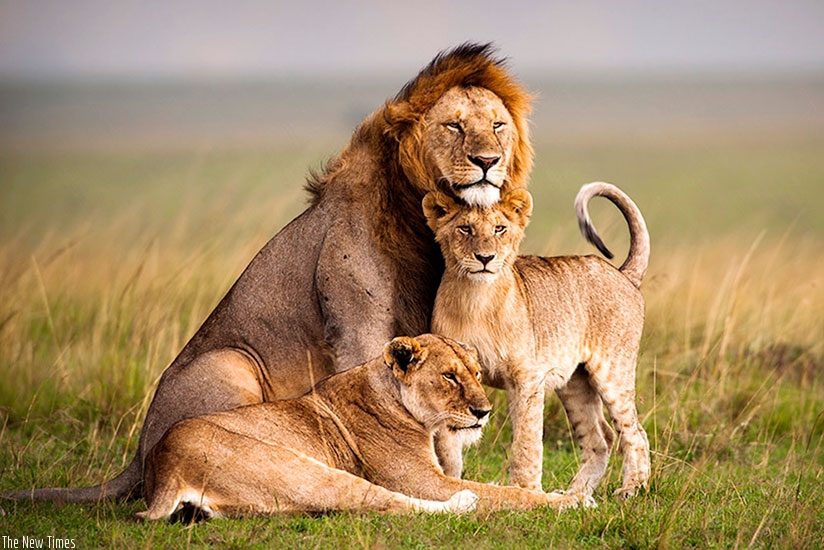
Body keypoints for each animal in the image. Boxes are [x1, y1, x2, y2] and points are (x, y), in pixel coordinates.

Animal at [0, 43, 534, 504]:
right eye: (454, 126)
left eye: (498, 126)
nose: (488, 162)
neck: (419, 221)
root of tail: (136, 457)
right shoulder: (358, 328)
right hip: (230, 362)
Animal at [138, 334, 589, 520]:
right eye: (449, 376)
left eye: (477, 374)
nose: (484, 412)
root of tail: (164, 465)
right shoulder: (424, 480)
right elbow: (507, 494)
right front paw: (569, 500)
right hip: (301, 470)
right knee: (386, 502)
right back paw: (463, 503)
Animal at [423, 182, 651, 499]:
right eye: (465, 229)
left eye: (500, 229)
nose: (485, 258)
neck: (475, 299)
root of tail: (622, 274)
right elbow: (447, 446)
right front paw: (449, 484)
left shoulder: (527, 378)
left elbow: (527, 441)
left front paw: (526, 490)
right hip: (574, 383)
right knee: (600, 438)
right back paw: (574, 495)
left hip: (613, 372)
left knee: (635, 432)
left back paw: (631, 489)